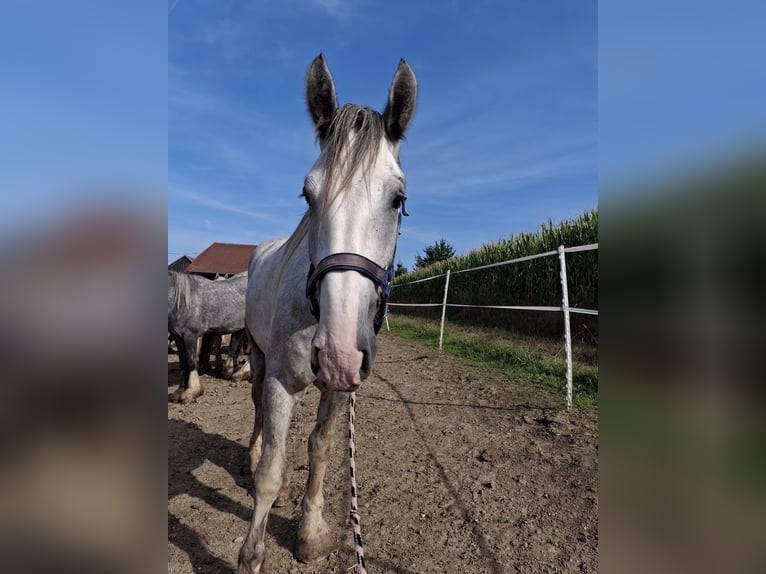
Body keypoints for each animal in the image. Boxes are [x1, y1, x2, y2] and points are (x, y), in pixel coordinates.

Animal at [167, 270, 248, 403]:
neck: (181, 299)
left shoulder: (190, 335)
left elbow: (191, 362)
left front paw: (192, 392)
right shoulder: (178, 337)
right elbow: (183, 364)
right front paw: (179, 392)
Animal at [238, 54, 417, 573]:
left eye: (398, 199)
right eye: (307, 194)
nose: (338, 352)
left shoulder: (341, 388)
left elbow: (320, 449)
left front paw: (311, 532)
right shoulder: (282, 382)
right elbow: (272, 471)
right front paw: (251, 553)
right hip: (257, 356)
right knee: (257, 410)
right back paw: (248, 457)